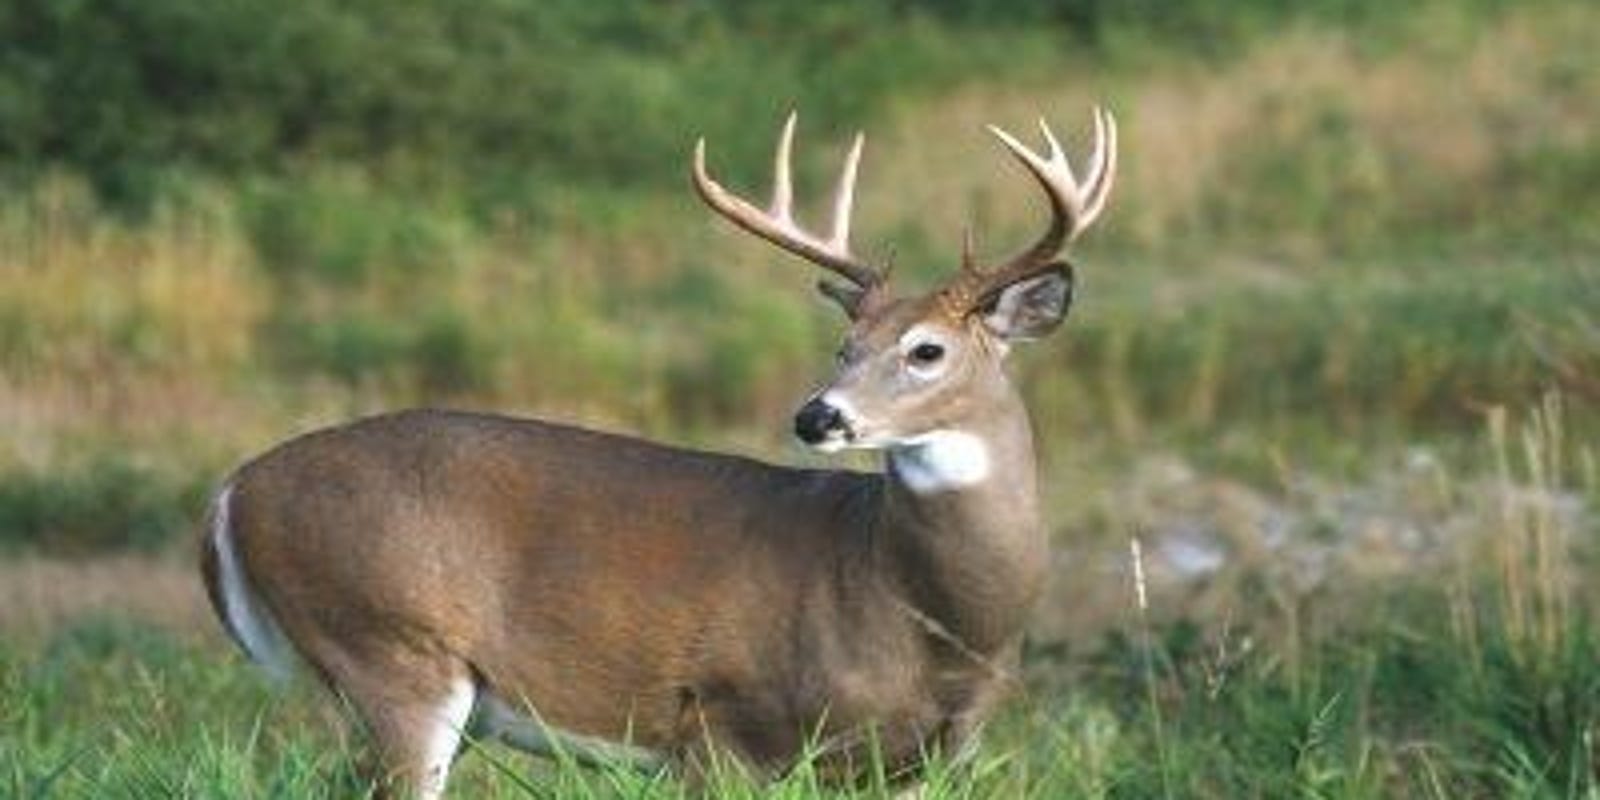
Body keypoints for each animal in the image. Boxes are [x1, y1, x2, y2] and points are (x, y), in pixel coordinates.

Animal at [200, 106, 1117, 798]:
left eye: (926, 350)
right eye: (844, 346)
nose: (816, 415)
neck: (920, 613)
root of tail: (233, 491)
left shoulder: (921, 763)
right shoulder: (721, 725)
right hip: (388, 645)